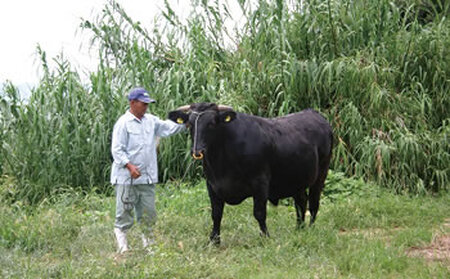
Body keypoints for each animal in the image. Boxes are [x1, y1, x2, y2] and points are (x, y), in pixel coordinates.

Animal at [168, 103, 330, 245]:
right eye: (189, 124)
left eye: (212, 123)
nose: (197, 151)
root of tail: (314, 113)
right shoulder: (212, 185)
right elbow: (216, 214)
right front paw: (214, 241)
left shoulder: (260, 182)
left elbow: (259, 213)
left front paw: (265, 238)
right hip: (297, 178)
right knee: (301, 202)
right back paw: (299, 229)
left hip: (321, 173)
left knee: (313, 203)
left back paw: (310, 229)